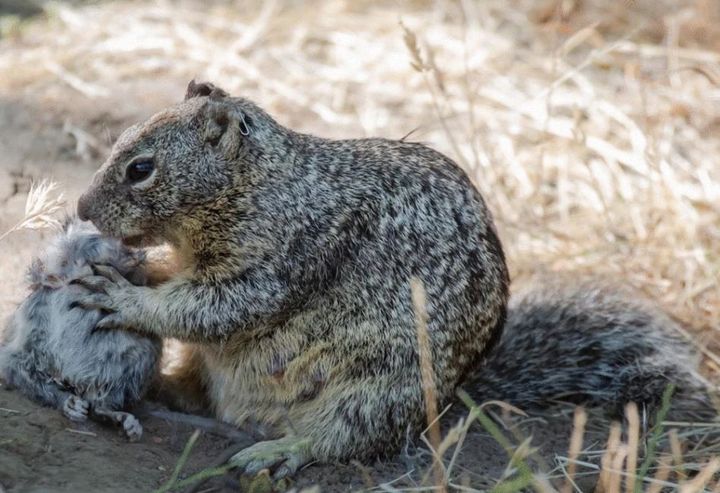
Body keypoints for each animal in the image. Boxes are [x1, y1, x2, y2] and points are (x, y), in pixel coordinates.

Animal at [0, 216, 160, 438]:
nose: (132, 251)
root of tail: (79, 381)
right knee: (22, 367)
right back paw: (71, 404)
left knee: (101, 402)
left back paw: (117, 418)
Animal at [74, 80, 716, 476]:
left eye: (140, 168)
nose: (81, 208)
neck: (264, 184)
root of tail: (450, 400)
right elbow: (179, 282)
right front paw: (133, 267)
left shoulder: (279, 260)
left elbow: (213, 308)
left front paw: (123, 296)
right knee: (195, 389)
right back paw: (160, 390)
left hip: (374, 391)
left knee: (342, 440)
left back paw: (280, 450)